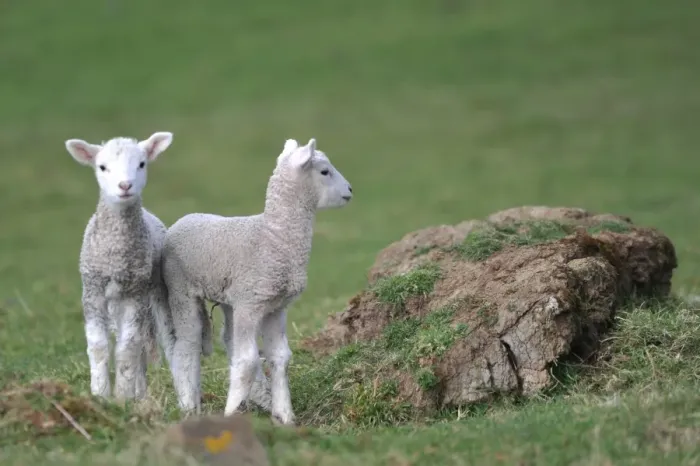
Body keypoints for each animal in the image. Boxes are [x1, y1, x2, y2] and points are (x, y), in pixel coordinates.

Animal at [65, 132, 178, 401]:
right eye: (102, 167)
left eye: (142, 164)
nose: (125, 186)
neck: (116, 254)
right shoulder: (92, 289)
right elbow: (98, 347)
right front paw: (100, 395)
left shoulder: (135, 293)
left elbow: (128, 349)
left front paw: (123, 397)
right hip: (115, 302)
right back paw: (140, 393)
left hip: (156, 290)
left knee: (166, 341)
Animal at [162, 137, 353, 423]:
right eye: (324, 171)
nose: (350, 190)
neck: (272, 237)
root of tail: (183, 219)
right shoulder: (251, 304)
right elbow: (247, 361)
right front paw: (230, 412)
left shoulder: (276, 307)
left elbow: (280, 357)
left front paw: (285, 415)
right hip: (181, 290)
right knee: (187, 344)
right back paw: (188, 405)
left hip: (230, 299)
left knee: (227, 339)